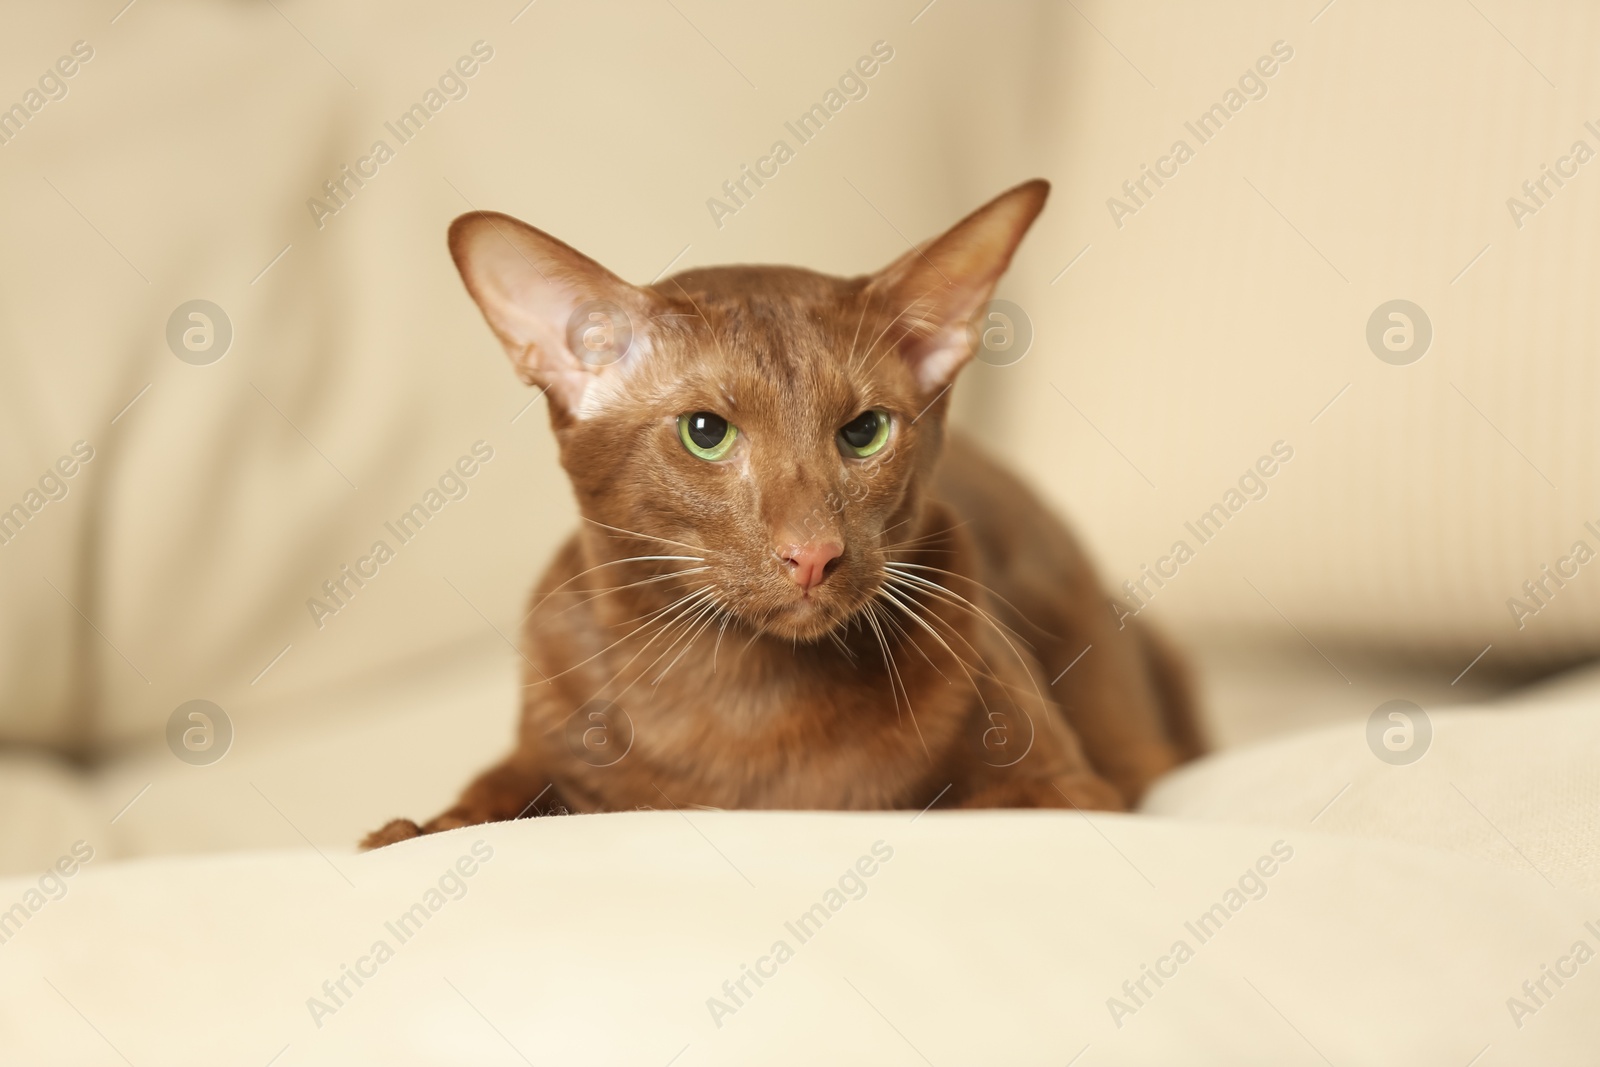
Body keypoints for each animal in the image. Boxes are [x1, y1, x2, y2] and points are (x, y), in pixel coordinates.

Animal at [363, 183, 1203, 851]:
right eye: (706, 432)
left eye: (864, 432)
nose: (814, 553)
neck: (743, 703)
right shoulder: (541, 750)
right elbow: (486, 801)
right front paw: (412, 829)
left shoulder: (1063, 790)